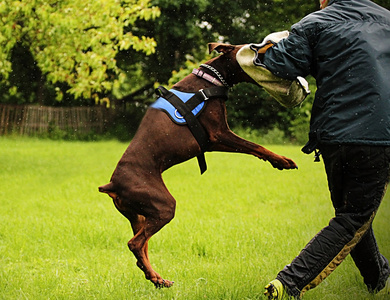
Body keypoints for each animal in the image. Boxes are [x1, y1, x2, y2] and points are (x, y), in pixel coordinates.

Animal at [99, 42, 298, 288]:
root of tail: (112, 185)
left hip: (139, 216)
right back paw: (156, 278)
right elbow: (255, 146)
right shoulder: (218, 134)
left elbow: (252, 147)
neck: (209, 80)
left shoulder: (216, 140)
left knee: (141, 247)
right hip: (163, 206)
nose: (274, 46)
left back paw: (156, 278)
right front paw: (282, 161)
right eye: (254, 46)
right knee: (135, 244)